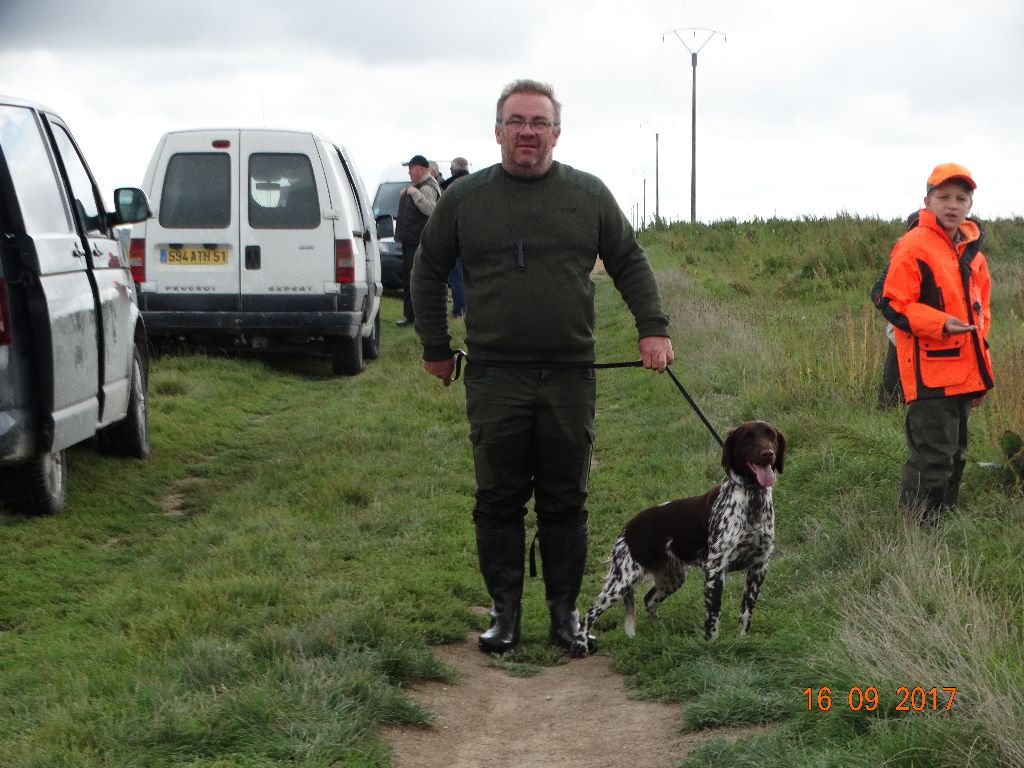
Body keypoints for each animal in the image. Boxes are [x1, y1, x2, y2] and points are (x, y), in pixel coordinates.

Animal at [573, 421, 786, 663]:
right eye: (748, 437)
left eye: (771, 435)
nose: (768, 453)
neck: (752, 500)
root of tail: (626, 529)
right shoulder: (715, 570)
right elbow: (713, 618)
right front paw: (712, 647)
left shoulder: (758, 567)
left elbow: (746, 613)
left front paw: (742, 641)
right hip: (621, 581)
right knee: (591, 611)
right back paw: (580, 645)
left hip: (672, 577)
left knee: (649, 599)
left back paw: (658, 631)